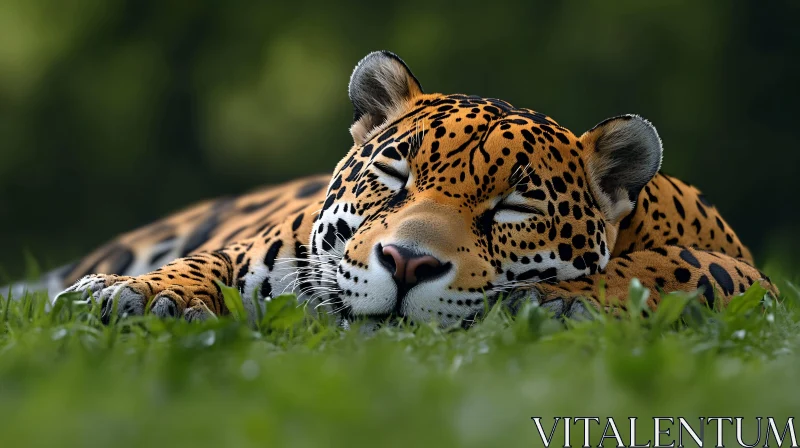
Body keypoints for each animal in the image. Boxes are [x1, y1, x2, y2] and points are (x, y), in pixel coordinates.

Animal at [10, 50, 776, 328]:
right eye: (395, 175)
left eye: (513, 207)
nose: (407, 264)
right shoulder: (265, 248)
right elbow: (204, 264)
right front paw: (142, 296)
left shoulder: (760, 283)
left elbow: (685, 265)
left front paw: (565, 300)